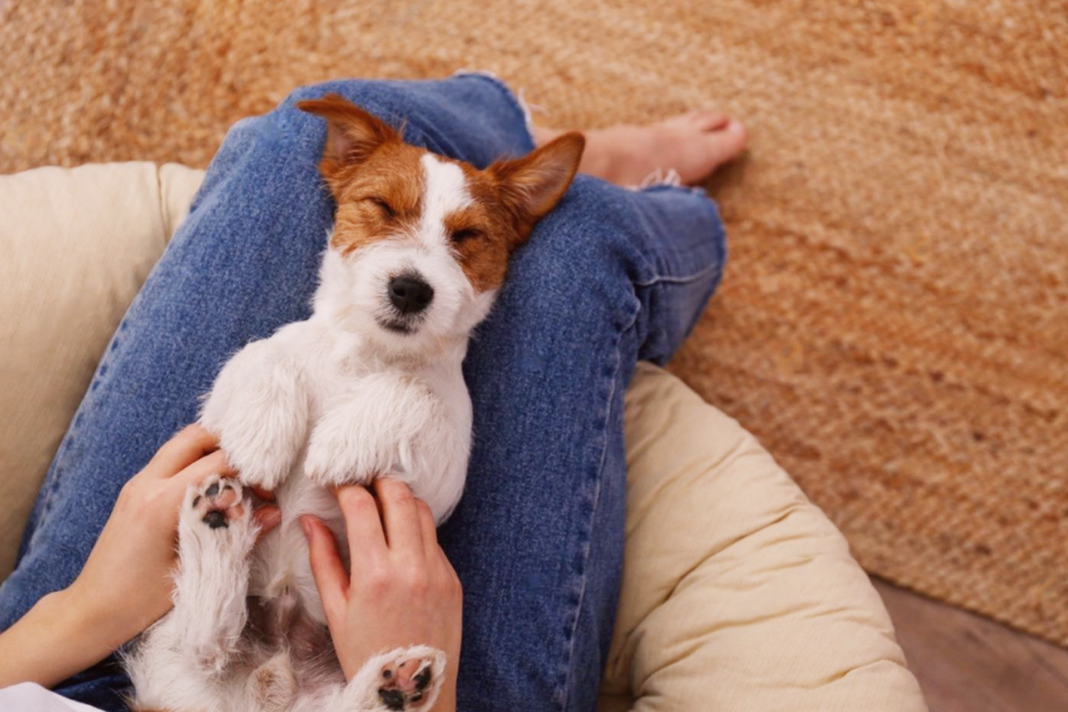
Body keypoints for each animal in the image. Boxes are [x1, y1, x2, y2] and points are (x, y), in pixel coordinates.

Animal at [122, 96, 585, 712]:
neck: (365, 355)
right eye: (381, 206)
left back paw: (395, 686)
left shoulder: (443, 470)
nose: (411, 289)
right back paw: (216, 528)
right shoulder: (227, 396)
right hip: (170, 654)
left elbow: (415, 391)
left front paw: (341, 441)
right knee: (203, 643)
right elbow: (262, 351)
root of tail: (270, 677)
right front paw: (265, 439)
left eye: (468, 236)